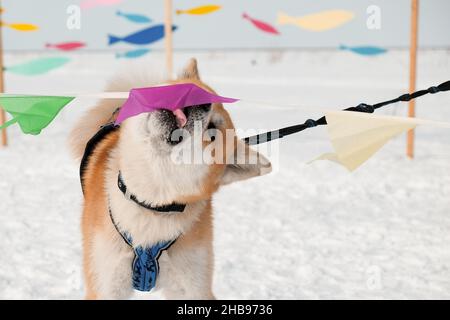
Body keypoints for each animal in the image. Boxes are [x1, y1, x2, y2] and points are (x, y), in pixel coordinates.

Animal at [71, 58, 270, 300]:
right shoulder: (106, 284)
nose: (202, 102)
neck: (149, 204)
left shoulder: (194, 285)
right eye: (192, 90)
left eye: (212, 131)